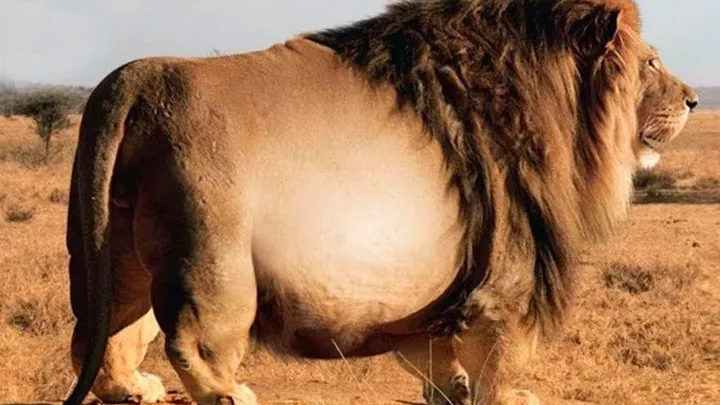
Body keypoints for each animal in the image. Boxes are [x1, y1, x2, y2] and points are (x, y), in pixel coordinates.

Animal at [62, 1, 698, 405]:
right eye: (651, 62)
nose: (694, 99)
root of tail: (138, 77)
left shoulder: (443, 283)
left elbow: (437, 356)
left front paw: (453, 389)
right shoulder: (509, 274)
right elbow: (502, 355)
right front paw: (511, 395)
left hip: (111, 249)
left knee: (98, 333)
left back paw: (131, 389)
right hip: (215, 257)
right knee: (191, 342)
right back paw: (230, 395)